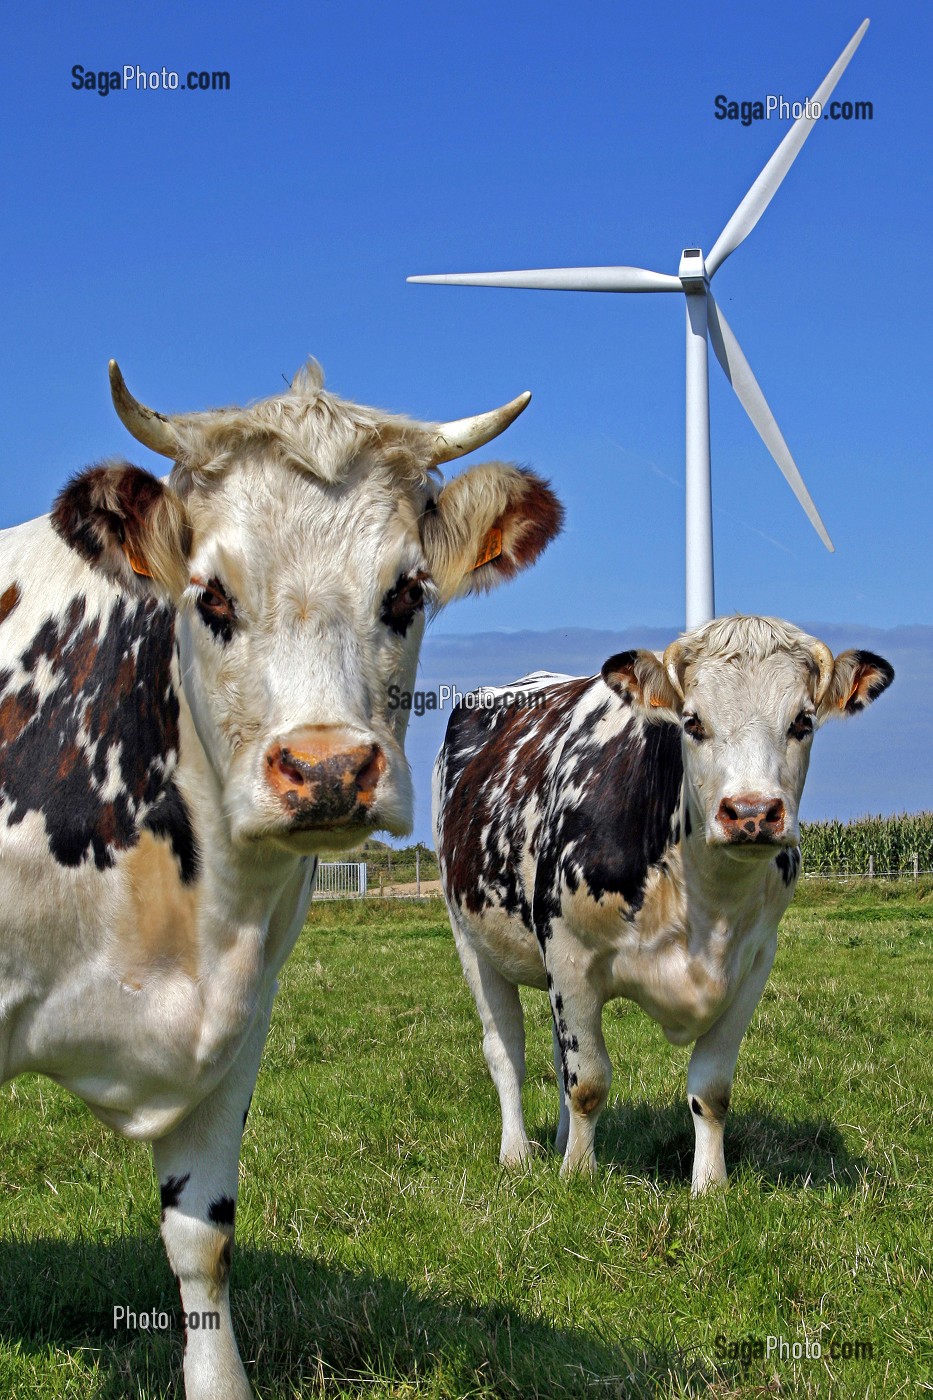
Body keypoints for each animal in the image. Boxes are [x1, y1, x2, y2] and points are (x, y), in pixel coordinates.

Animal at [431, 618, 890, 1198]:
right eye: (692, 722)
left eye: (803, 721)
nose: (752, 812)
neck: (705, 906)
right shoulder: (569, 952)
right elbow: (589, 1081)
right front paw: (578, 1176)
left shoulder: (754, 962)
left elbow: (711, 1089)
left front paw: (710, 1185)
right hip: (470, 937)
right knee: (506, 1050)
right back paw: (517, 1154)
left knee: (557, 1057)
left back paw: (557, 1141)